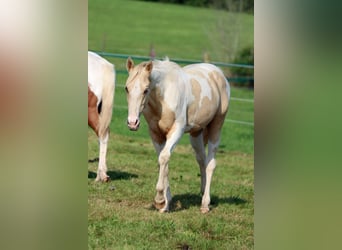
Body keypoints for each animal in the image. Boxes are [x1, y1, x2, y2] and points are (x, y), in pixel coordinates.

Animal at [125, 57, 230, 213]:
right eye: (127, 88)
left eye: (146, 90)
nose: (132, 123)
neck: (163, 98)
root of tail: (218, 73)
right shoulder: (155, 134)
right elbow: (163, 162)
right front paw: (166, 204)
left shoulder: (177, 130)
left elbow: (164, 157)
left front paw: (159, 200)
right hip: (196, 134)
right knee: (202, 160)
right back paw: (202, 191)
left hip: (216, 127)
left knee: (211, 164)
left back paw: (205, 204)